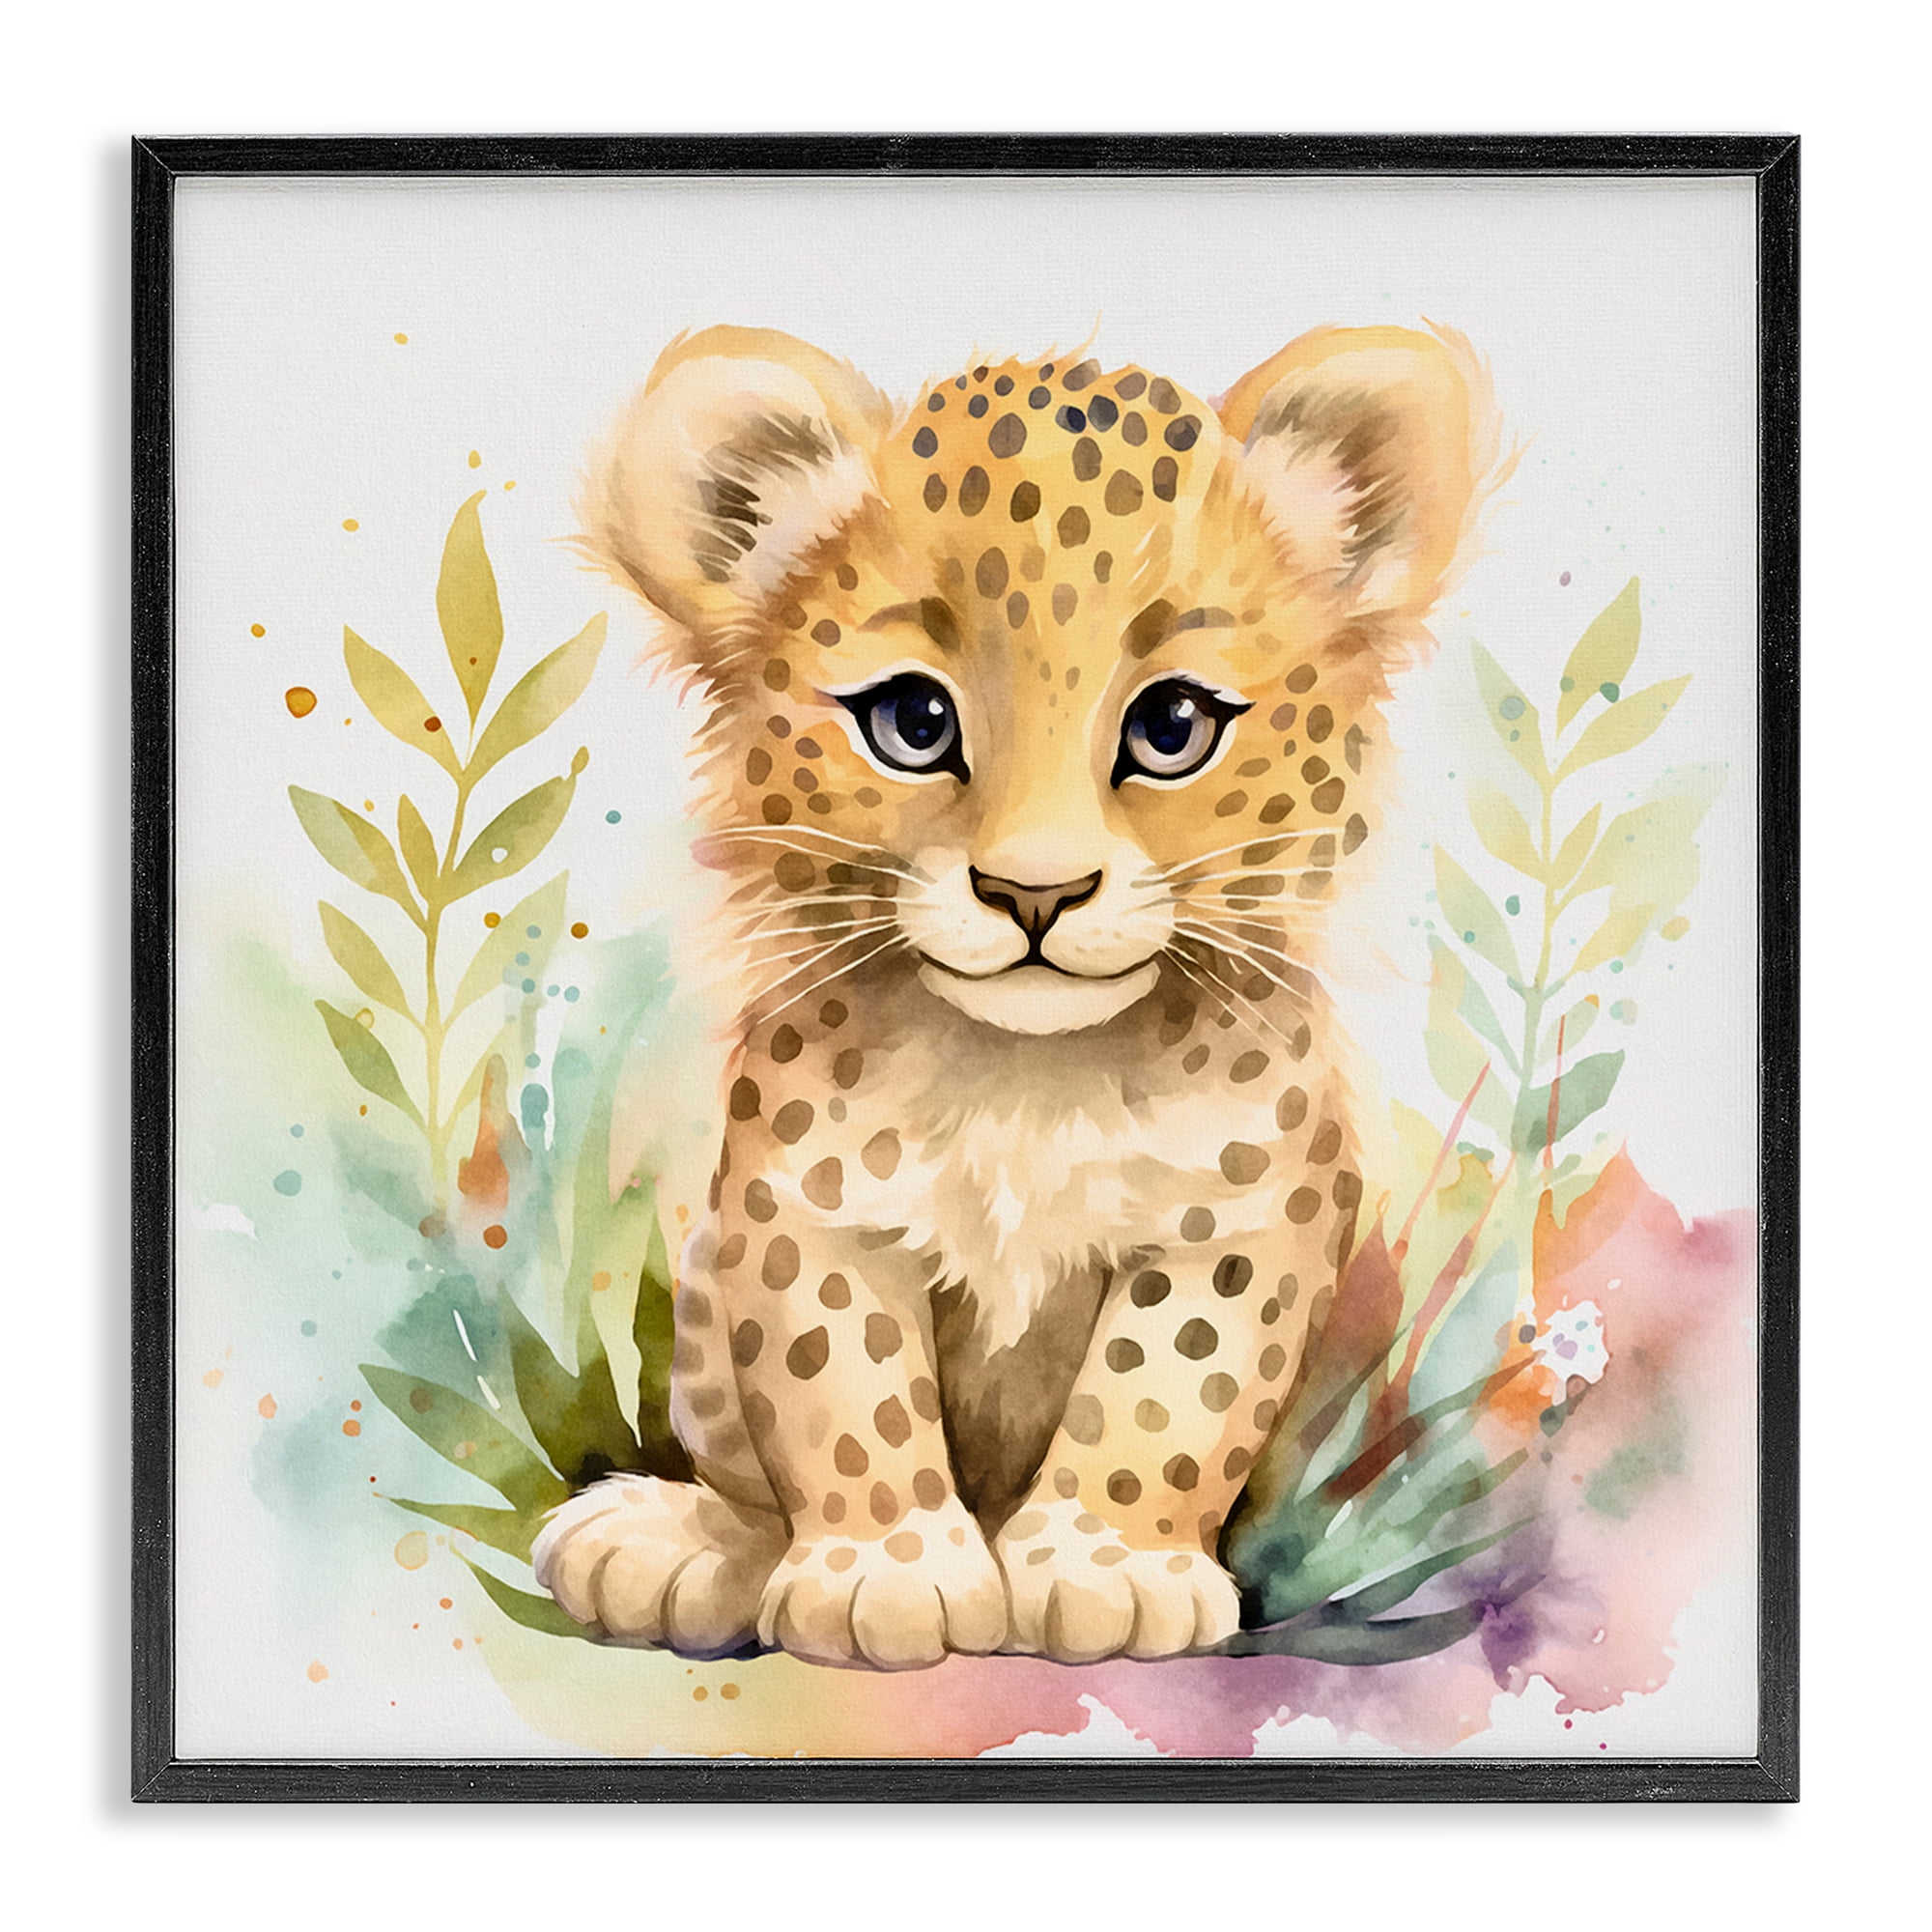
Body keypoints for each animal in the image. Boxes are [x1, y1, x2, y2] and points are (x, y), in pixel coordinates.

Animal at [532, 321, 1507, 1670]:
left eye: (1171, 723)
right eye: (911, 719)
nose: (1032, 893)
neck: (1026, 1080)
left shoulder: (1242, 1217)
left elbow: (1166, 1390)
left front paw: (1107, 1566)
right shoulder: (801, 1206)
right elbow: (842, 1389)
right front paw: (886, 1572)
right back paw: (673, 1542)